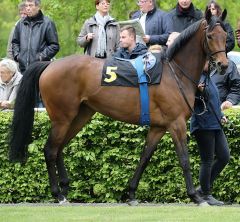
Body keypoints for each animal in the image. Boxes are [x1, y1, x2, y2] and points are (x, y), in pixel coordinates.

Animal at [8, 12, 227, 206]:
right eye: (209, 36)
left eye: (225, 36)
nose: (223, 65)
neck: (173, 74)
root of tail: (48, 65)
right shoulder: (176, 124)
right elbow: (184, 159)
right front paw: (195, 196)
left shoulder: (158, 127)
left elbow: (144, 157)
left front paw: (131, 193)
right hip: (62, 118)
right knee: (50, 150)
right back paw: (57, 194)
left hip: (80, 116)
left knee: (59, 147)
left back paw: (64, 187)